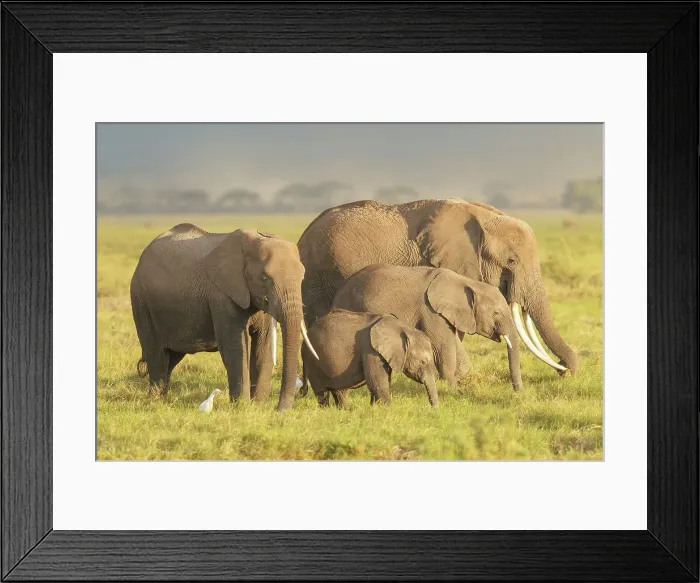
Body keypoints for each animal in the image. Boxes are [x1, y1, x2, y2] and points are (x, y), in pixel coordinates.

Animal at [129, 223, 319, 411]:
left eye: (302, 277)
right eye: (265, 278)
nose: (278, 409)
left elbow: (263, 346)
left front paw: (258, 406)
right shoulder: (222, 294)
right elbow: (235, 346)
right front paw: (242, 407)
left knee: (172, 356)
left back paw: (162, 400)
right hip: (141, 302)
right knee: (157, 354)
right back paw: (154, 402)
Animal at [301, 308, 439, 408]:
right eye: (423, 361)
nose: (433, 411)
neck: (401, 327)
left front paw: (374, 408)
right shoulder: (370, 349)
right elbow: (377, 382)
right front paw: (386, 409)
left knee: (340, 391)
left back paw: (344, 410)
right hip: (312, 362)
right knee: (322, 393)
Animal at [331, 264, 523, 390]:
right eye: (496, 313)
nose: (518, 391)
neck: (465, 282)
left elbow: (454, 344)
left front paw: (459, 381)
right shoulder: (430, 310)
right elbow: (444, 346)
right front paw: (451, 388)